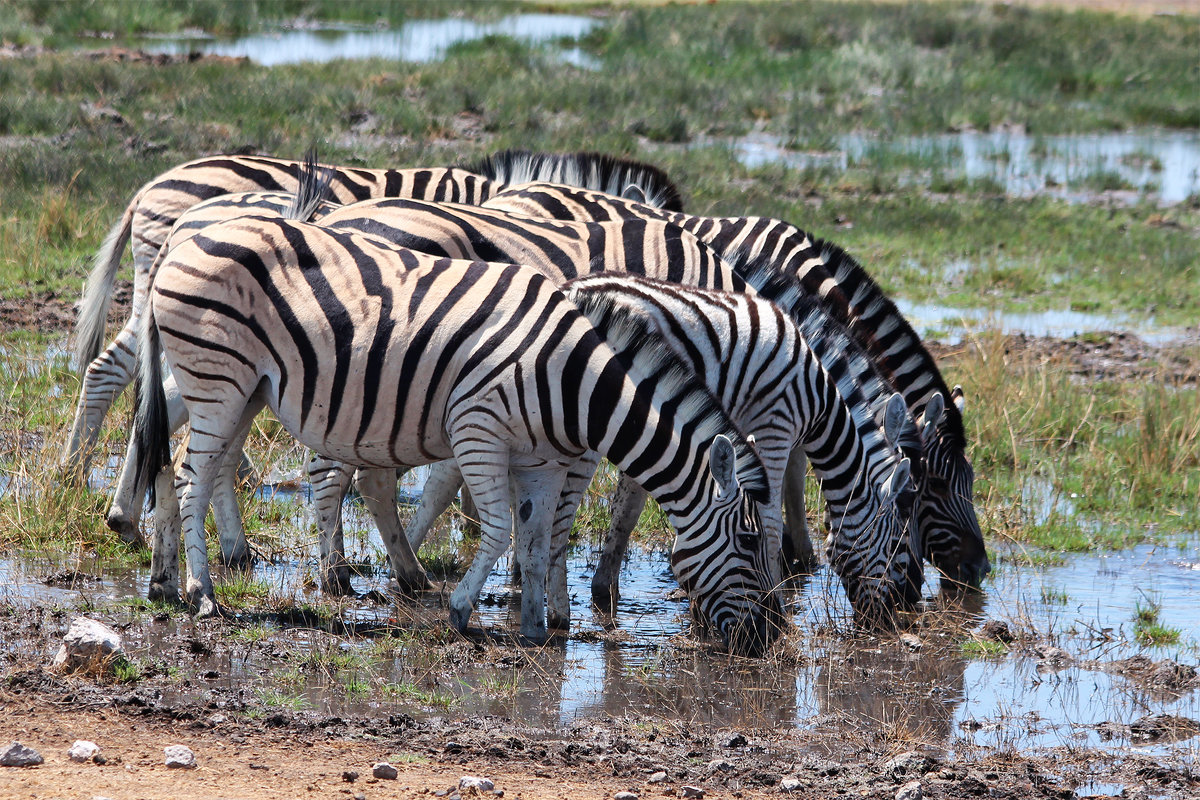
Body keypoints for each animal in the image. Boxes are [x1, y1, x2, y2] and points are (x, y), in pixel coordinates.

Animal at [131, 212, 777, 652]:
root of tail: (181, 239)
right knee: (192, 477)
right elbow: (497, 532)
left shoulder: (541, 462)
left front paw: (537, 628)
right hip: (220, 379)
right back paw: (202, 593)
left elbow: (535, 541)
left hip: (237, 388)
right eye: (749, 542)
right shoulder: (479, 429)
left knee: (175, 458)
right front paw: (464, 610)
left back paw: (165, 579)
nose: (767, 637)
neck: (573, 380)